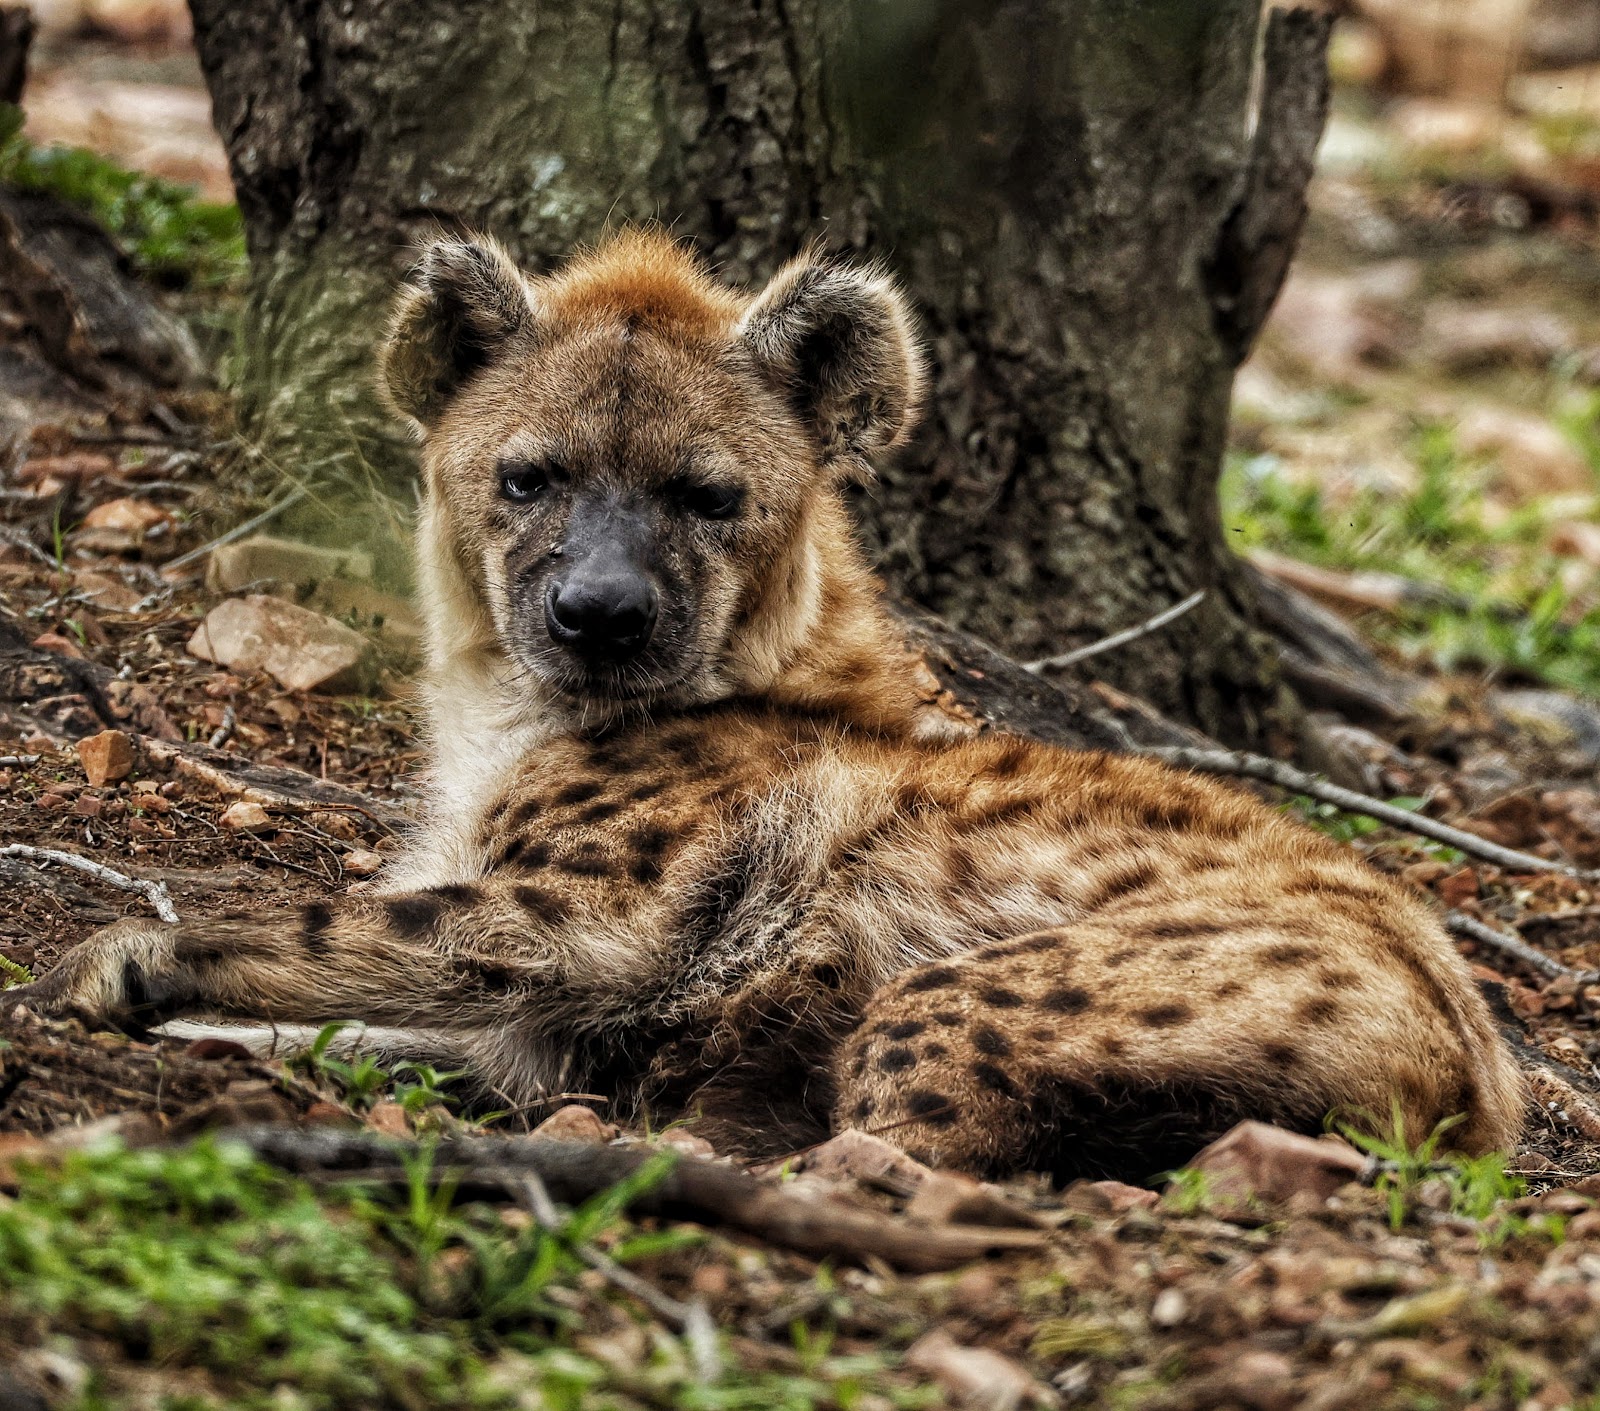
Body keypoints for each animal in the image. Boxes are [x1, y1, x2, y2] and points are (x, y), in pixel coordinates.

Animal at [3, 229, 1525, 1179]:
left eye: (707, 495)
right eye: (526, 476)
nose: (600, 610)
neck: (505, 722)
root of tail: (1478, 1078)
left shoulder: (598, 910)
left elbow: (349, 923)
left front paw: (109, 964)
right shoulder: (515, 1002)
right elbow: (376, 1011)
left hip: (985, 990)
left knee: (915, 1136)